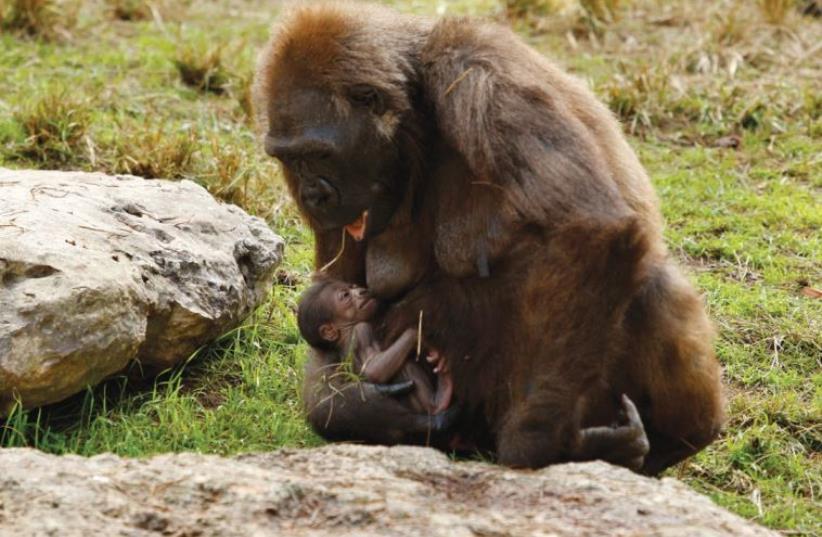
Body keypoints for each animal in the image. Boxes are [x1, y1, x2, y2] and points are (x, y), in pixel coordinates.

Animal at [296, 278, 454, 416]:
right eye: (346, 295)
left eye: (353, 286)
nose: (361, 291)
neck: (346, 329)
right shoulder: (361, 331)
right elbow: (373, 370)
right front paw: (417, 334)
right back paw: (439, 399)